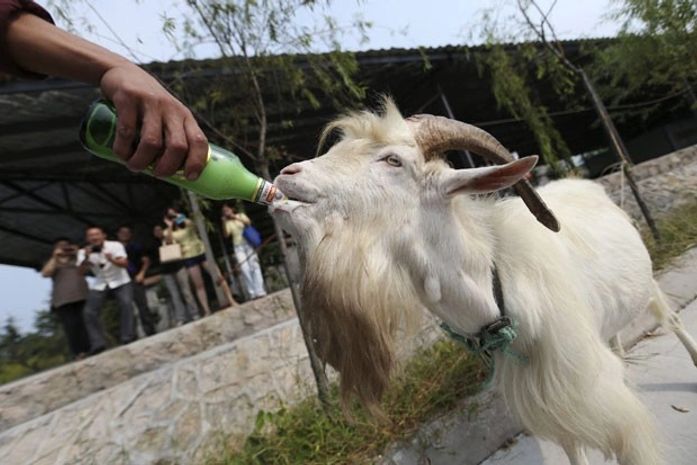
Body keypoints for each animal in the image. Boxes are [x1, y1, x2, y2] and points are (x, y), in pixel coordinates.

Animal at [270, 99, 697, 465]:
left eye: (393, 160)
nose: (286, 175)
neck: (498, 285)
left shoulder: (592, 397)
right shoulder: (556, 397)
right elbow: (575, 447)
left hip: (647, 286)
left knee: (671, 318)